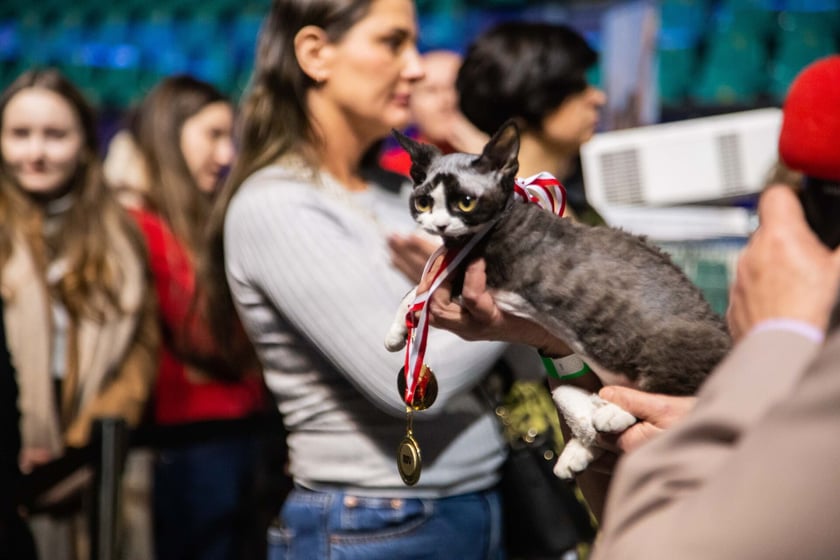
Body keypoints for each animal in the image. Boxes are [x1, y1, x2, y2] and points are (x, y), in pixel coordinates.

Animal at [384, 121, 732, 476]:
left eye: (466, 202)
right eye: (424, 202)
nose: (440, 223)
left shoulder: (488, 282)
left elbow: (419, 292)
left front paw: (400, 328)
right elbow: (414, 292)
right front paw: (397, 333)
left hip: (673, 343)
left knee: (675, 386)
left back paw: (612, 411)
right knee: (580, 409)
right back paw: (580, 444)